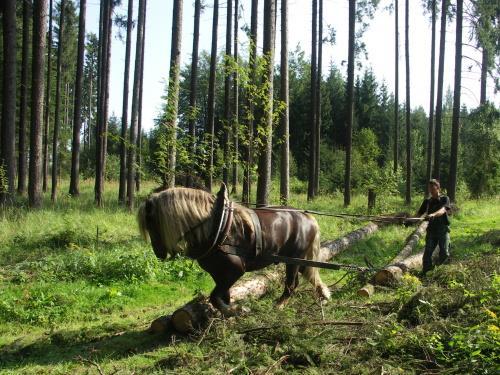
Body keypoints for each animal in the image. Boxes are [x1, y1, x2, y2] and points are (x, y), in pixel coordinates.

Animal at [138, 184, 332, 314]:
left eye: (151, 223)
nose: (159, 254)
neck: (215, 226)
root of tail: (308, 217)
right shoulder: (218, 273)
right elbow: (223, 295)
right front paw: (227, 312)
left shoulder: (235, 270)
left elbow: (215, 297)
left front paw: (236, 310)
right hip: (298, 260)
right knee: (309, 275)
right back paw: (323, 296)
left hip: (294, 259)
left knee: (291, 284)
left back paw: (279, 305)